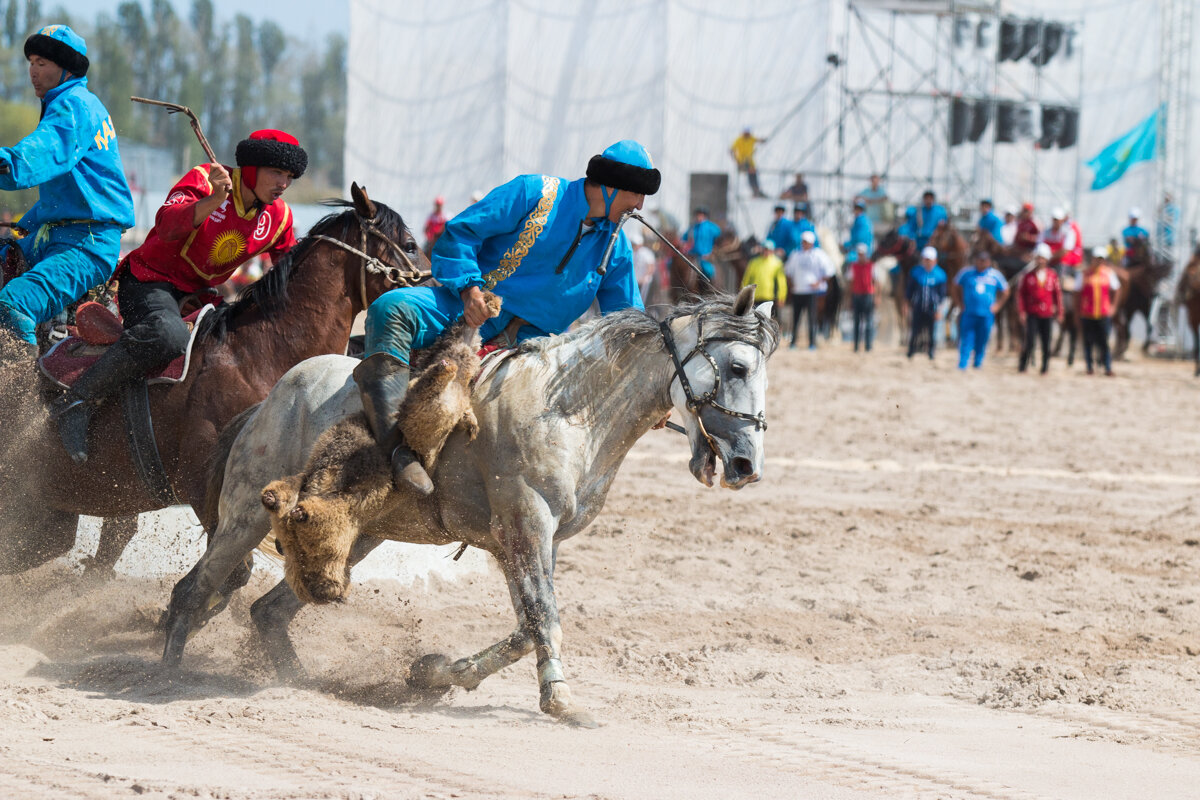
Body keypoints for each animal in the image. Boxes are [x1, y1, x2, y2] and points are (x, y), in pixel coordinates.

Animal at [159, 286, 777, 724]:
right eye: (737, 368)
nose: (747, 462)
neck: (569, 411)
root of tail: (274, 397)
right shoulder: (524, 526)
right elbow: (544, 616)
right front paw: (560, 698)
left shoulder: (528, 541)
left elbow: (529, 625)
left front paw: (435, 674)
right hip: (243, 515)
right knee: (193, 591)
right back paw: (165, 674)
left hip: (354, 537)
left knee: (268, 612)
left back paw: (300, 681)